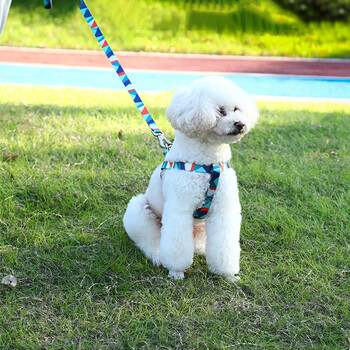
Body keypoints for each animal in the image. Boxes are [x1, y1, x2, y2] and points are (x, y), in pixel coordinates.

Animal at [122, 75, 258, 280]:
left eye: (236, 109)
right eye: (220, 111)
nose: (240, 124)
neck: (207, 163)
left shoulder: (223, 209)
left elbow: (224, 244)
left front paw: (227, 275)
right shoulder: (179, 208)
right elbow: (176, 245)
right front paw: (176, 271)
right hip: (139, 212)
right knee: (149, 240)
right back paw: (157, 256)